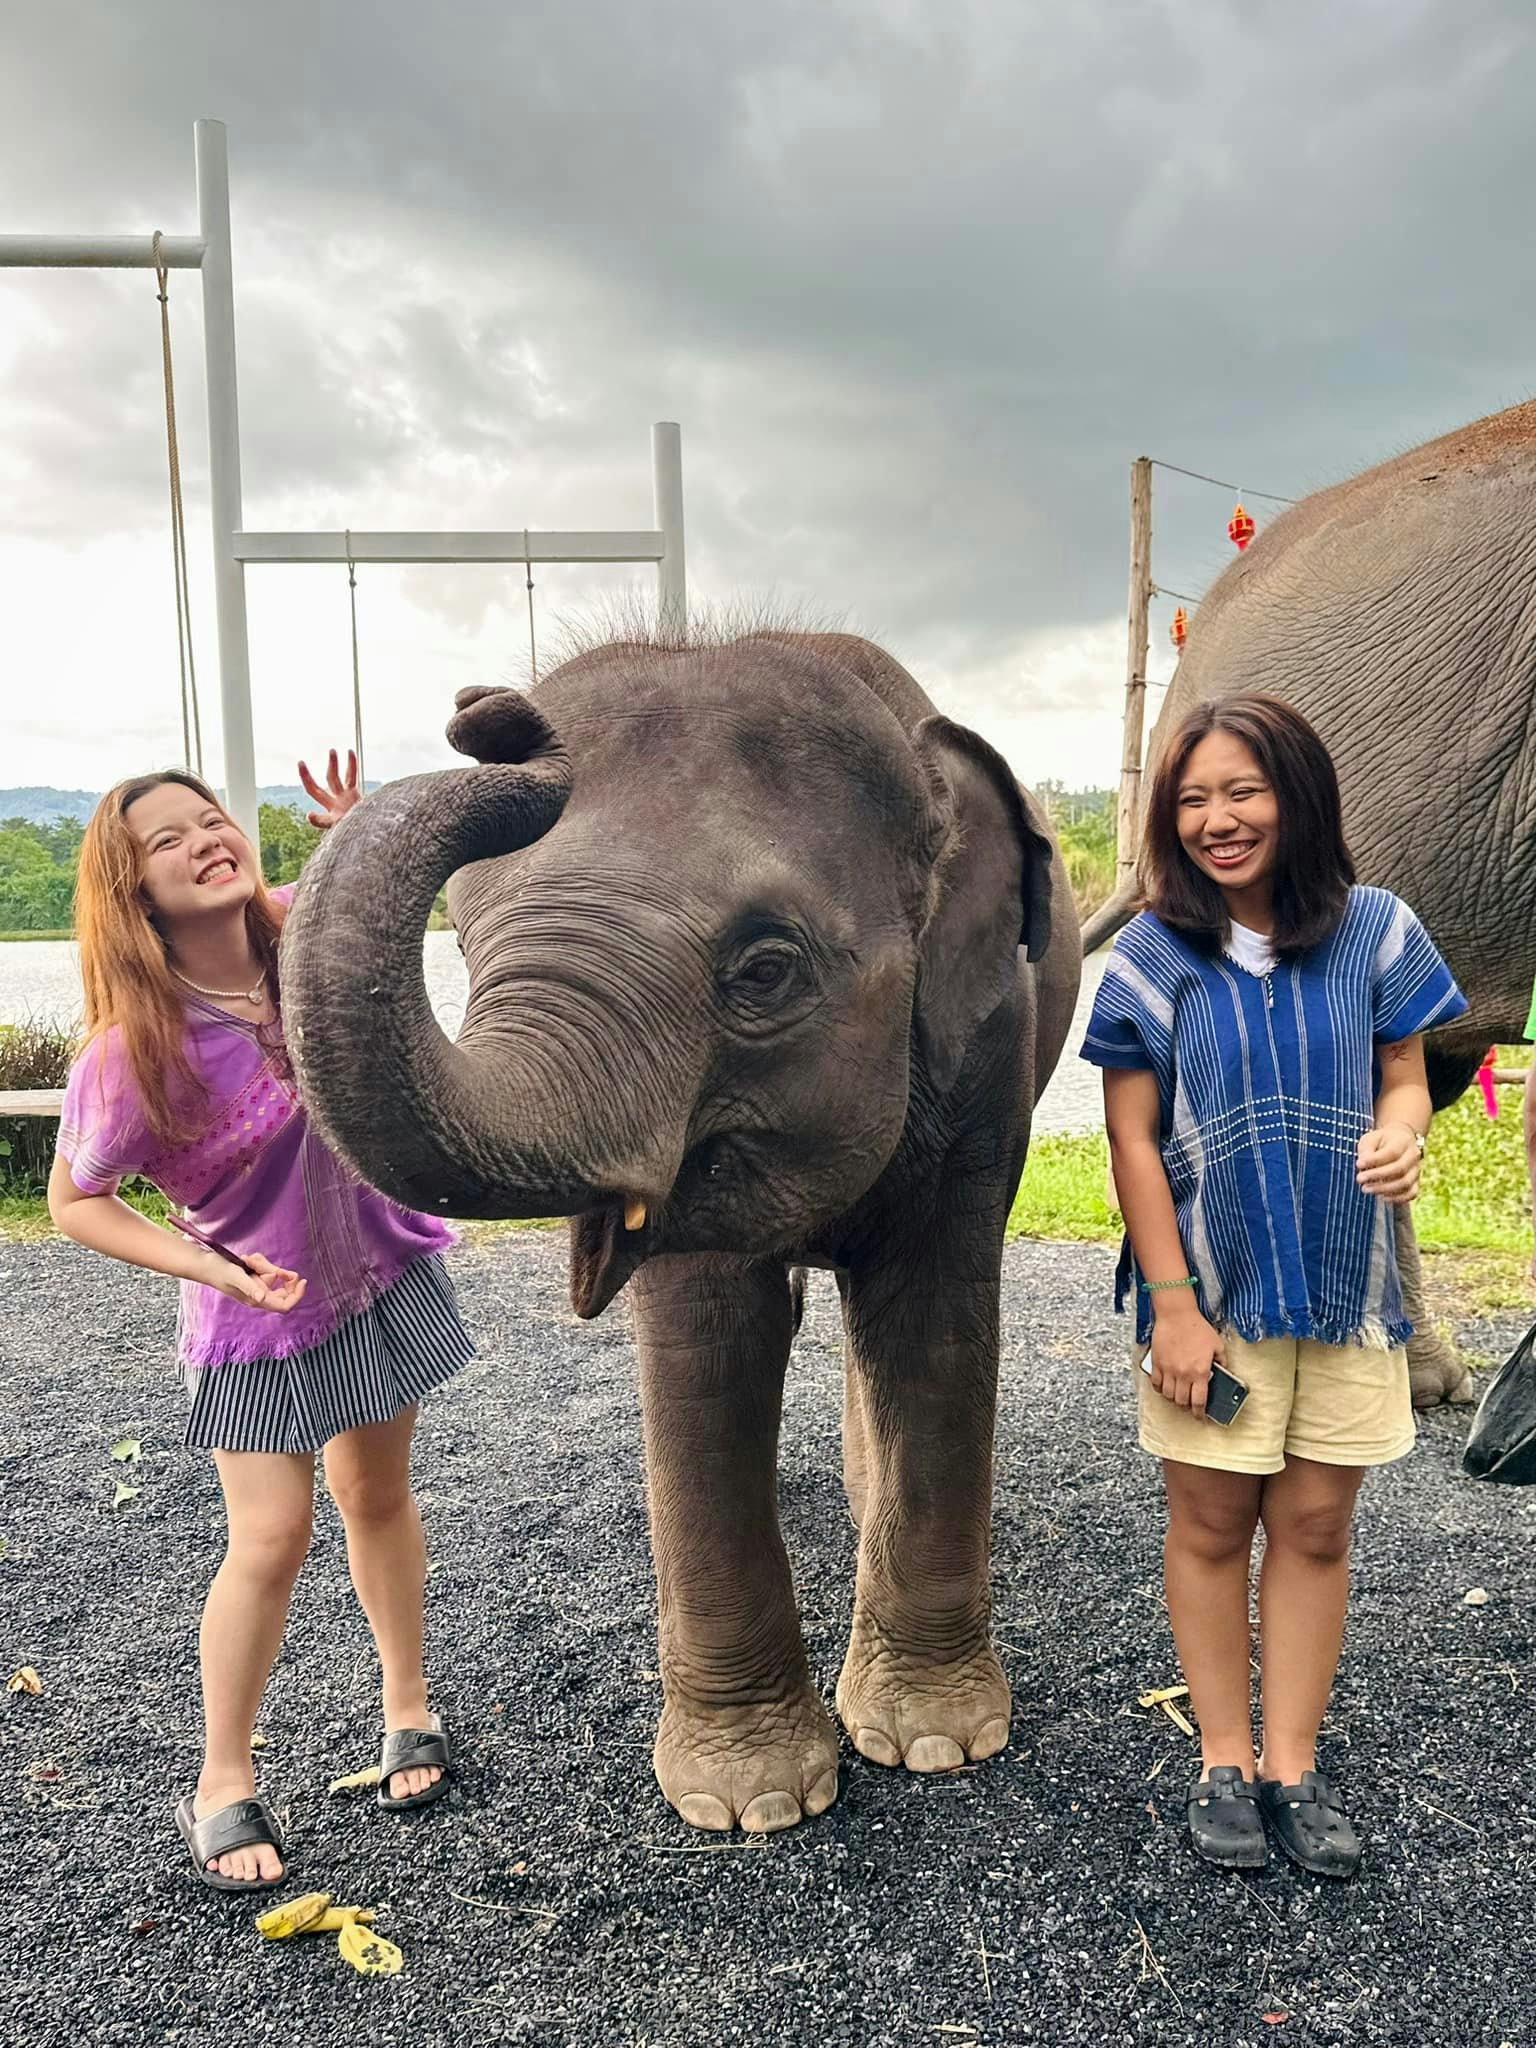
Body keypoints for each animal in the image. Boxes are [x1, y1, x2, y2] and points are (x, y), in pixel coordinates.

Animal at [281, 629, 1083, 1833]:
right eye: (465, 943)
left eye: (765, 969)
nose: (490, 714)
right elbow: (709, 1345)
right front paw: (752, 1804)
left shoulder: (989, 1052)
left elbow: (935, 1322)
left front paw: (939, 1744)